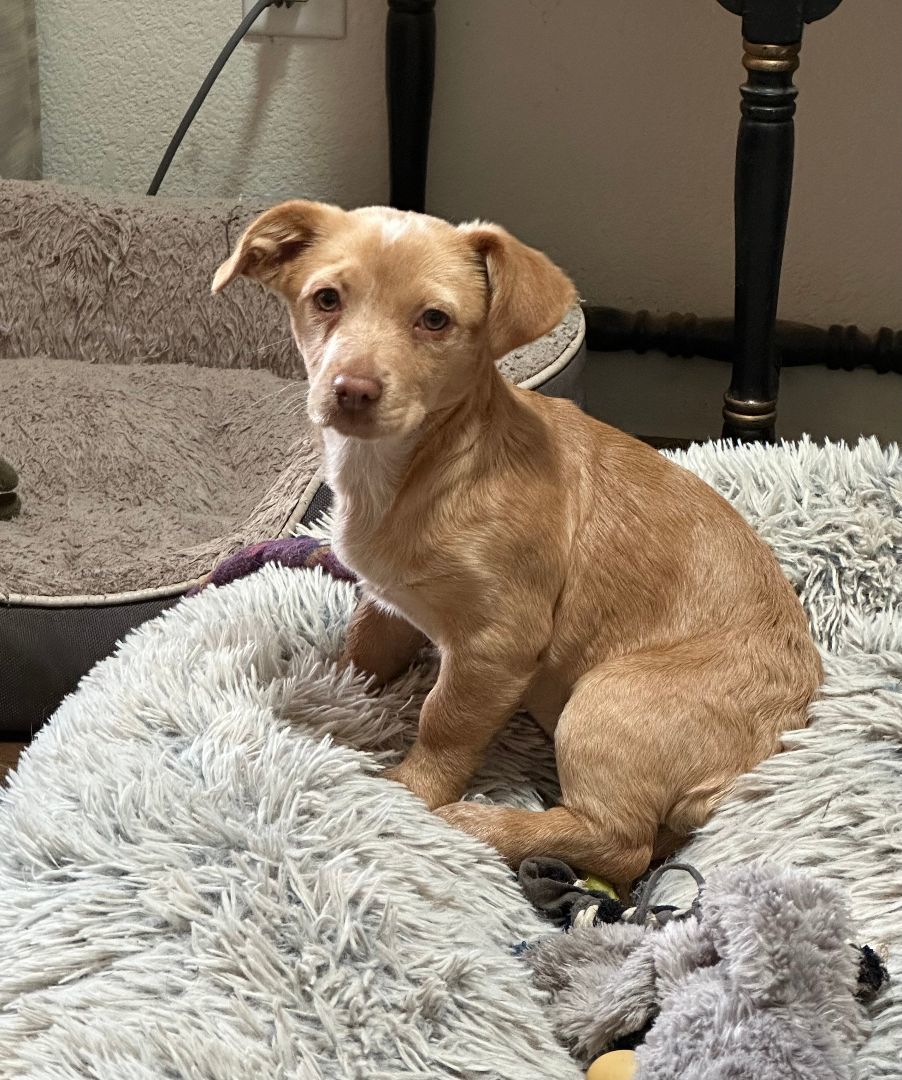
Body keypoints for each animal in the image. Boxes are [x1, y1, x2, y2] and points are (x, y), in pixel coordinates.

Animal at [213, 201, 822, 886]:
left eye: (434, 320)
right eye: (326, 299)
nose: (352, 389)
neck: (420, 468)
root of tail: (771, 745)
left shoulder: (495, 644)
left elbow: (444, 721)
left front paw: (411, 797)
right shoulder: (390, 603)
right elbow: (362, 653)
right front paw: (338, 694)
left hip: (606, 701)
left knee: (618, 843)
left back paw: (485, 827)